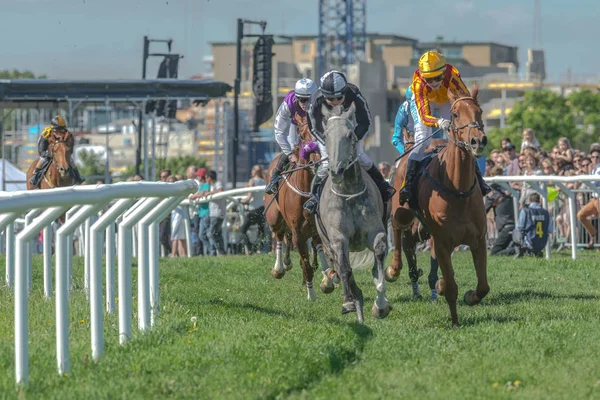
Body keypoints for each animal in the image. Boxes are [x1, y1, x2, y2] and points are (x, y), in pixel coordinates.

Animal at [264, 120, 336, 302]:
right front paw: (312, 295)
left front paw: (327, 281)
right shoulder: (298, 234)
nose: (317, 161)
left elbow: (321, 255)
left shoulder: (318, 228)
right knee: (279, 235)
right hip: (274, 218)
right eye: (302, 136)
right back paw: (279, 268)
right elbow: (306, 265)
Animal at [316, 104, 392, 324]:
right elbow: (344, 268)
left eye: (350, 135)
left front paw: (380, 305)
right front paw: (351, 301)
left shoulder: (376, 231)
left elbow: (379, 257)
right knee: (339, 266)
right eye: (326, 135)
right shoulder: (337, 238)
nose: (337, 171)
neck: (349, 193)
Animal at [386, 83, 490, 326]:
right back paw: (393, 269)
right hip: (401, 210)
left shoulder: (478, 239)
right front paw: (455, 321)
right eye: (455, 114)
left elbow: (483, 286)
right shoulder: (441, 241)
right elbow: (450, 286)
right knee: (397, 229)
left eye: (479, 111)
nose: (477, 141)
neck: (458, 190)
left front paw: (470, 296)